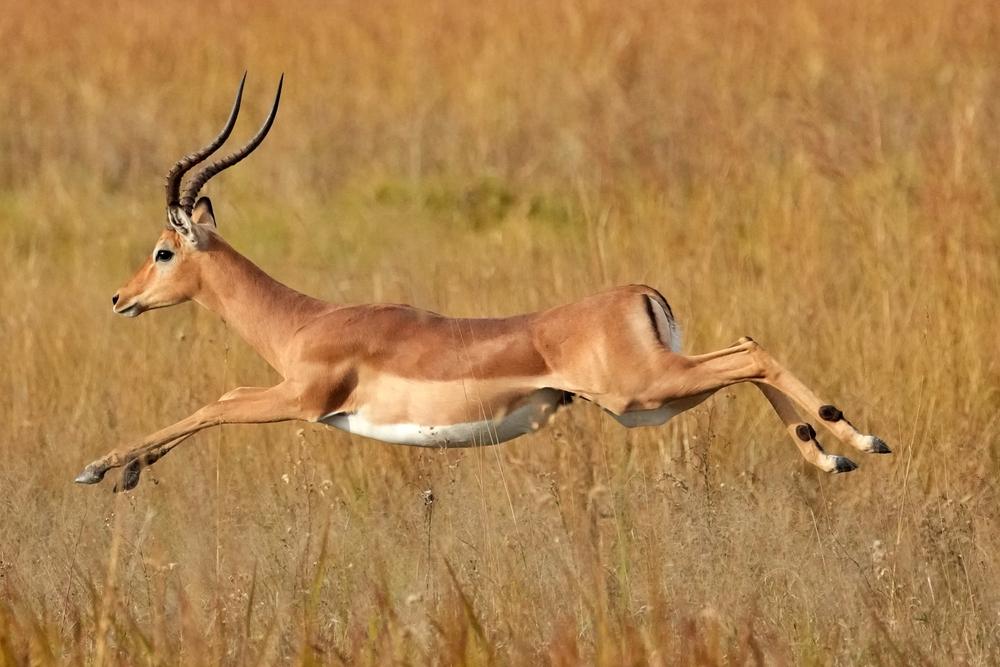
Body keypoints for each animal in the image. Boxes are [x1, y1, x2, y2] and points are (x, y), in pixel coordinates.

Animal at [75, 75, 891, 492]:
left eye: (162, 251)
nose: (117, 299)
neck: (303, 322)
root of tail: (640, 294)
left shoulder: (302, 399)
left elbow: (216, 401)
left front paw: (102, 467)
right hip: (651, 402)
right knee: (748, 354)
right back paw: (833, 453)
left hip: (642, 392)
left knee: (751, 353)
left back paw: (861, 436)